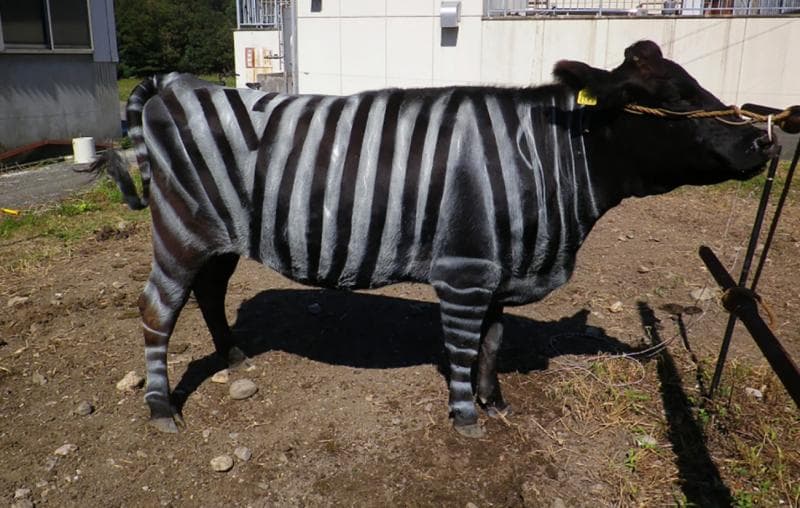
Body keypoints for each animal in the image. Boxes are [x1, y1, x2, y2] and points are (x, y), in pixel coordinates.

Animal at [97, 41, 773, 437]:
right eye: (665, 100)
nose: (762, 141)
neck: (542, 161)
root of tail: (181, 85)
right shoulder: (466, 271)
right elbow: (464, 347)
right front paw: (467, 419)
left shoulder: (501, 267)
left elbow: (494, 343)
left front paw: (496, 402)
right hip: (181, 230)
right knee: (157, 310)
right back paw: (161, 410)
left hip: (219, 235)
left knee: (209, 292)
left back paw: (235, 355)